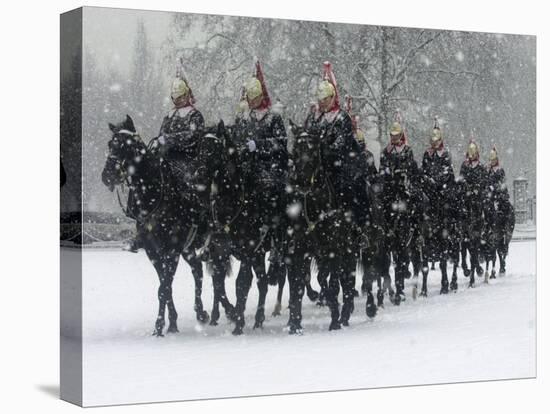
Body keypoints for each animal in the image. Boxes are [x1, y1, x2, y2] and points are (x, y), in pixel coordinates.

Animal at [100, 115, 210, 336]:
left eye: (125, 145)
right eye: (110, 144)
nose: (107, 176)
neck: (152, 196)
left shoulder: (172, 250)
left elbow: (164, 287)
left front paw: (160, 326)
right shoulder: (153, 252)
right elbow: (164, 286)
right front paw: (171, 322)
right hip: (188, 248)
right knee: (197, 270)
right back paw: (201, 312)